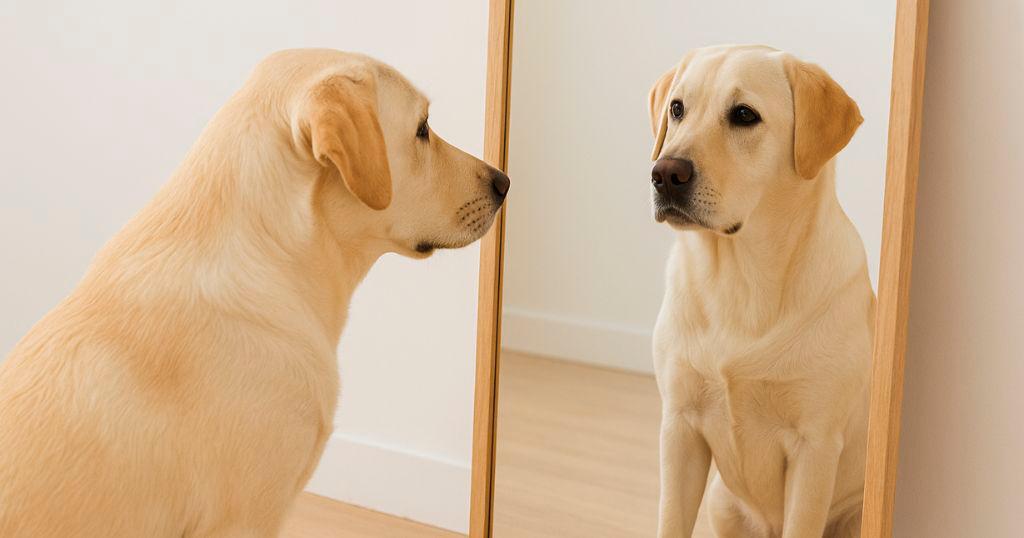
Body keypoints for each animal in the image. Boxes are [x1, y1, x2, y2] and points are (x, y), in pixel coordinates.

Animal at [647, 45, 874, 537]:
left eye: (744, 115)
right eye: (677, 108)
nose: (664, 172)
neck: (739, 278)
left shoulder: (815, 446)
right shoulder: (679, 427)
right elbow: (671, 520)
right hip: (722, 503)